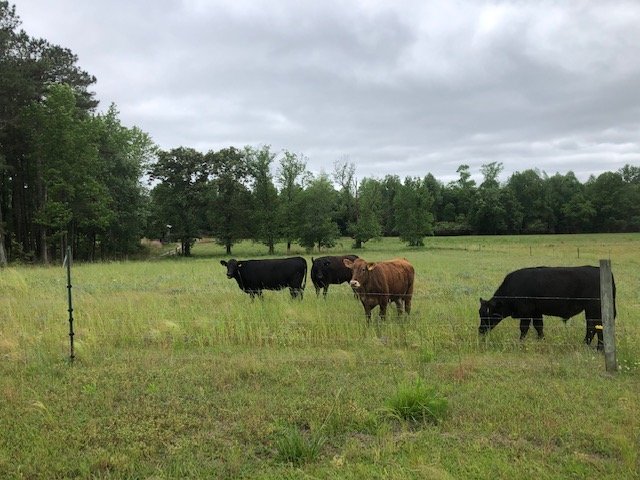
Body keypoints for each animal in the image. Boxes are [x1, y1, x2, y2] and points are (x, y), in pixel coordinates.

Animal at [478, 266, 616, 350]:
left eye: (488, 314)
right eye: (480, 313)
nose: (480, 330)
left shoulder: (526, 312)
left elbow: (523, 328)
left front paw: (520, 342)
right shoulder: (536, 312)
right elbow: (539, 326)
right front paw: (541, 340)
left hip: (594, 309)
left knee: (595, 327)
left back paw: (597, 348)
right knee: (594, 327)